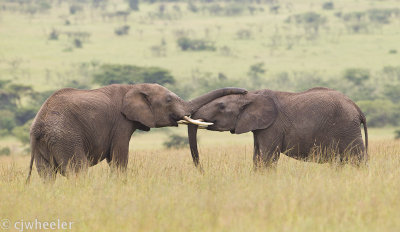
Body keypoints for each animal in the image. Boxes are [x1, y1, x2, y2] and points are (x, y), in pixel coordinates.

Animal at [25, 83, 247, 181]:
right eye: (168, 100)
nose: (245, 91)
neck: (134, 87)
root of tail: (38, 127)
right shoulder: (121, 122)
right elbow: (118, 157)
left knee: (46, 175)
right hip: (65, 137)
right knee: (77, 170)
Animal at [188, 87, 368, 169]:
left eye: (221, 106)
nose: (202, 171)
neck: (253, 95)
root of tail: (357, 108)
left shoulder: (273, 126)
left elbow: (268, 158)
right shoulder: (260, 128)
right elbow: (257, 157)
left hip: (347, 127)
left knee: (356, 158)